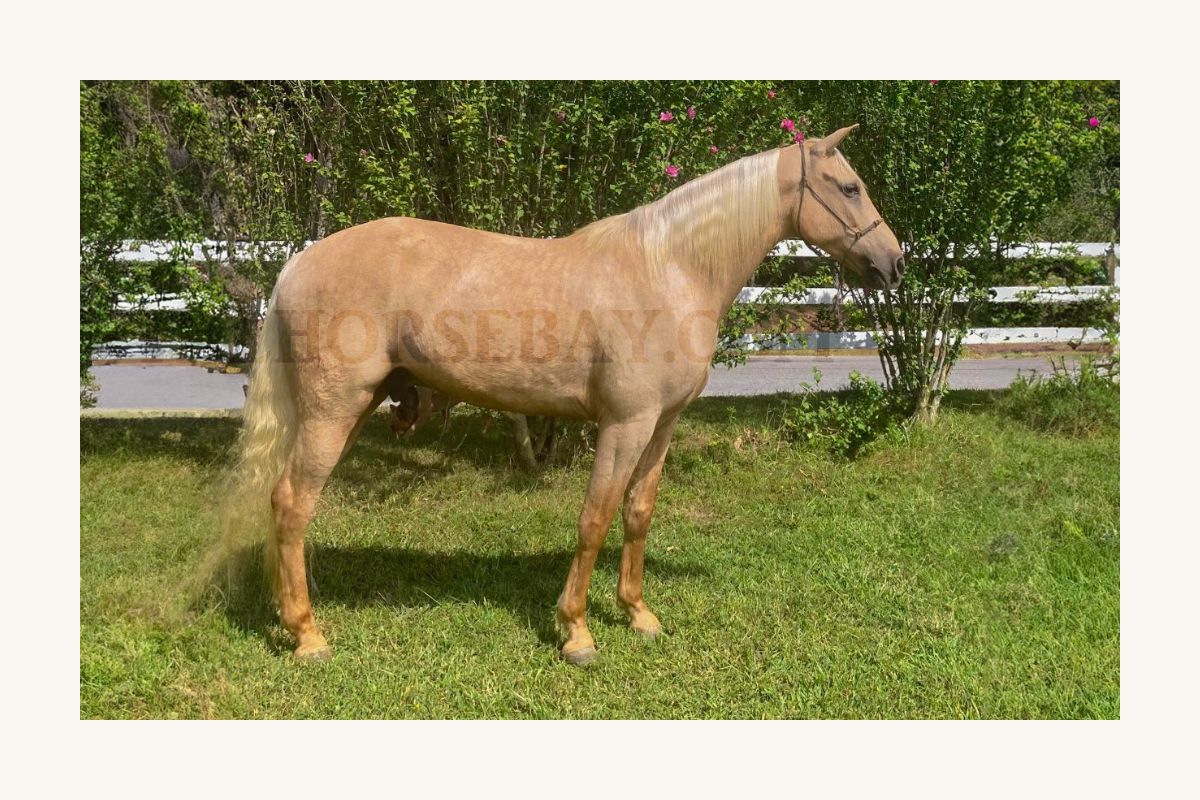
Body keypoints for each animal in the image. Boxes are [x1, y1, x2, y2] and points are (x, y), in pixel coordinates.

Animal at [226, 124, 904, 665]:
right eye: (849, 188)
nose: (894, 263)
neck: (669, 268)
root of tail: (299, 262)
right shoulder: (625, 424)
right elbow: (595, 518)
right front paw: (576, 632)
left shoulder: (662, 425)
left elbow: (638, 514)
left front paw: (637, 614)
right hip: (332, 411)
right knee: (291, 504)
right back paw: (307, 634)